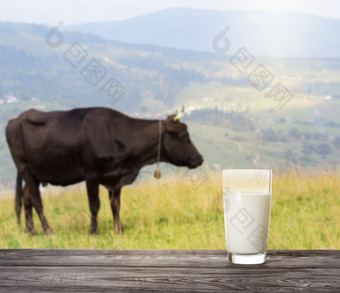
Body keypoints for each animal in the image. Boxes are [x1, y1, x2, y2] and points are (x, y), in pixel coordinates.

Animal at [5, 107, 203, 235]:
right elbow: (95, 204)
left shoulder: (115, 177)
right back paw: (47, 230)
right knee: (36, 200)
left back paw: (30, 231)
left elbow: (115, 205)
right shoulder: (91, 174)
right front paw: (94, 231)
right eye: (184, 136)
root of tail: (16, 119)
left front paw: (119, 230)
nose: (200, 158)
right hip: (24, 167)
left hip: (36, 173)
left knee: (26, 198)